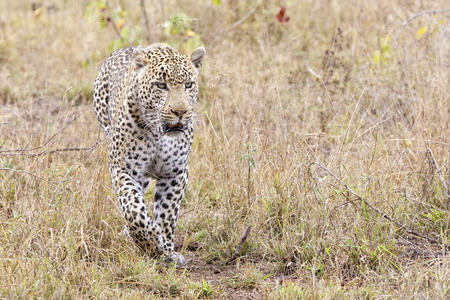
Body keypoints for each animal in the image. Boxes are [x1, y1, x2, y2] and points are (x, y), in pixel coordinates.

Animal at [93, 42, 206, 264]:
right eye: (161, 85)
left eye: (188, 84)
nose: (180, 112)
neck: (157, 134)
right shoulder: (124, 169)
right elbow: (133, 207)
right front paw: (151, 241)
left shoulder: (175, 173)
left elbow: (167, 213)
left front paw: (167, 251)